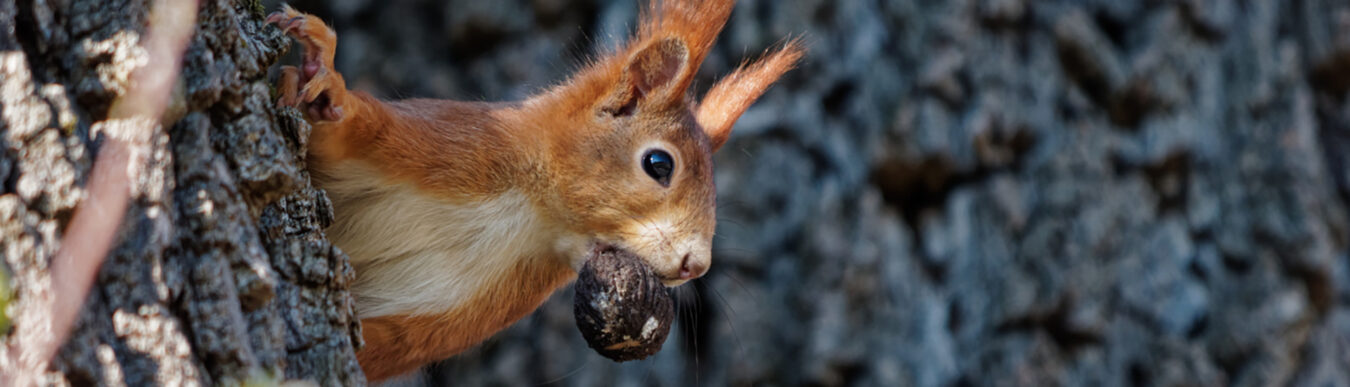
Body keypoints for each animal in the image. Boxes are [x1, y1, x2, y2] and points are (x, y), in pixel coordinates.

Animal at [268, 0, 804, 382]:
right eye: (658, 164)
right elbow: (350, 130)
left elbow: (385, 345)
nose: (697, 266)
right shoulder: (450, 142)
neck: (531, 213)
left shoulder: (462, 316)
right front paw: (327, 81)